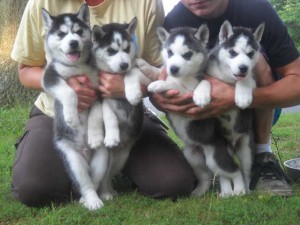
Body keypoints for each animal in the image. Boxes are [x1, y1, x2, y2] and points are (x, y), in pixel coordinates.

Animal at [41, 4, 108, 210]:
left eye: (78, 32)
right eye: (62, 34)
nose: (73, 43)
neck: (76, 66)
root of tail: (85, 154)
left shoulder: (100, 88)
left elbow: (96, 111)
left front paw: (94, 133)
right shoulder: (50, 76)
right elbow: (69, 92)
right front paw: (71, 117)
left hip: (101, 157)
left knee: (94, 179)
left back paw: (95, 198)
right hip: (71, 158)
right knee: (84, 183)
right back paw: (90, 200)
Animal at [91, 18, 148, 200]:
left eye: (127, 49)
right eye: (111, 51)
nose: (124, 64)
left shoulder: (140, 70)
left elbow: (132, 73)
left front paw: (132, 93)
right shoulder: (101, 94)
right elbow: (108, 114)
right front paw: (111, 135)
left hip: (121, 157)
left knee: (108, 175)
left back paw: (108, 191)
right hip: (104, 156)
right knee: (103, 176)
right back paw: (104, 193)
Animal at [192, 21, 264, 196]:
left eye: (251, 54)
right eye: (232, 52)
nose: (244, 67)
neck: (228, 77)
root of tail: (232, 142)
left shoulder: (253, 79)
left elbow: (245, 80)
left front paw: (243, 97)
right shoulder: (208, 73)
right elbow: (206, 80)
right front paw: (201, 95)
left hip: (246, 148)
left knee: (244, 171)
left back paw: (243, 190)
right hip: (221, 149)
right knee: (224, 173)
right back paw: (226, 192)